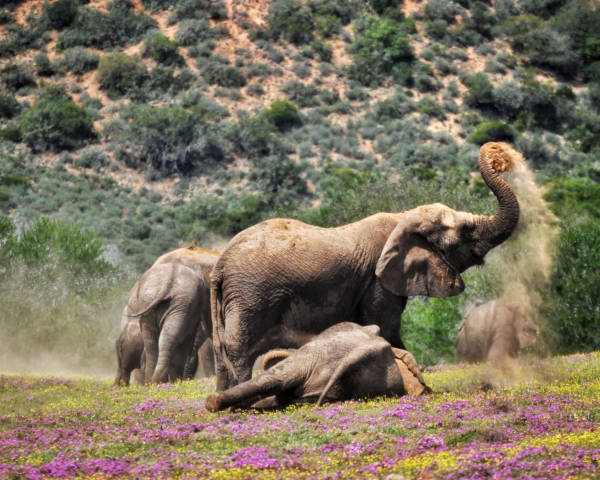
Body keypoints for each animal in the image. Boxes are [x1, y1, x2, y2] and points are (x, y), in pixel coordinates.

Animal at [212, 142, 524, 390]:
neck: (403, 217)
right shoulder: (377, 281)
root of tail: (221, 264)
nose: (499, 153)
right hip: (250, 297)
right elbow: (387, 329)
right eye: (466, 230)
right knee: (240, 349)